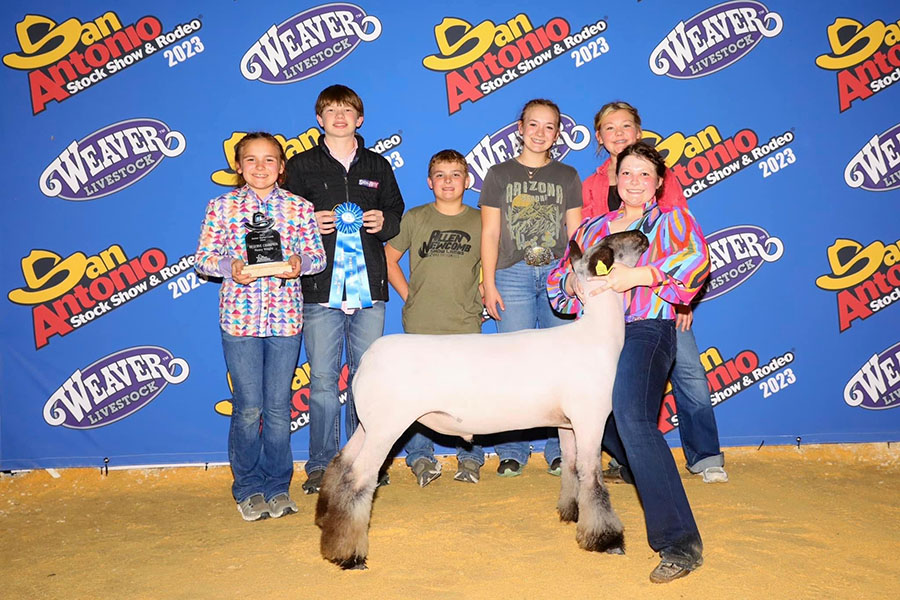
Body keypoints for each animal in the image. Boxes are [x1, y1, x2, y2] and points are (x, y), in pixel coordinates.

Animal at [314, 230, 650, 570]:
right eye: (611, 246)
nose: (641, 234)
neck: (596, 335)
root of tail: (367, 357)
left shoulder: (567, 424)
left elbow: (571, 467)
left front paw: (571, 513)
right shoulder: (590, 417)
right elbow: (592, 478)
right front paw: (606, 540)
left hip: (369, 424)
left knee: (341, 463)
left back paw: (325, 519)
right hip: (387, 426)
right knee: (358, 479)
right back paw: (348, 554)